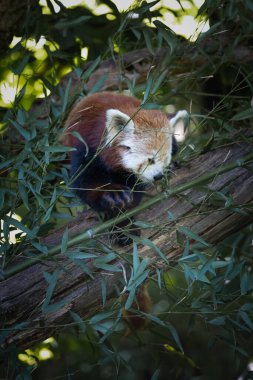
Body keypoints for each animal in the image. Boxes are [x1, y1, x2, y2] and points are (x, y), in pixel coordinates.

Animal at [62, 91, 187, 238]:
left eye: (165, 160)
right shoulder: (85, 147)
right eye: (151, 160)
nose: (158, 176)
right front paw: (114, 196)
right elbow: (86, 182)